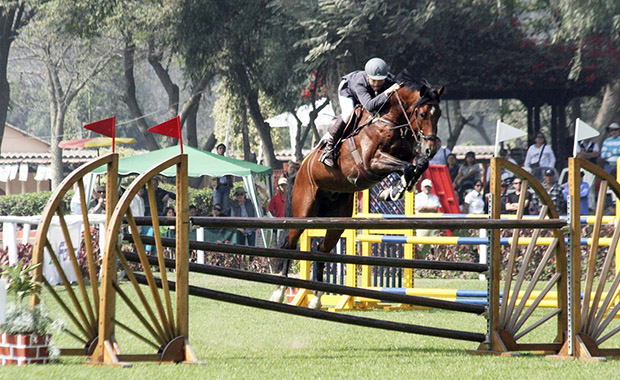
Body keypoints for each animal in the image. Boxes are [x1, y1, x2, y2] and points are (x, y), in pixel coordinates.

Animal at [274, 78, 444, 308]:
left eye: (439, 114)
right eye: (422, 114)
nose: (431, 149)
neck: (389, 121)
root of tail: (299, 170)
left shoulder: (405, 155)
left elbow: (418, 165)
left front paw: (395, 190)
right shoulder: (372, 162)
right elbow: (407, 167)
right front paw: (395, 189)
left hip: (337, 220)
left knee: (322, 249)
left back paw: (316, 299)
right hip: (303, 213)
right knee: (289, 245)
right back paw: (279, 291)